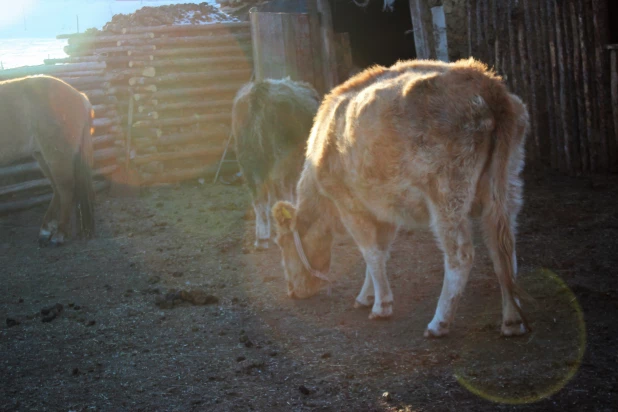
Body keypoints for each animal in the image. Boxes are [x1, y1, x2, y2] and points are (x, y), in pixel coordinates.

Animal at [229, 77, 320, 251]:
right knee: (281, 192)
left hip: (249, 162)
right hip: (280, 162)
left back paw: (262, 239)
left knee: (259, 199)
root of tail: (259, 91)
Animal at [272, 58, 528, 338]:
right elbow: (380, 253)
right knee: (503, 250)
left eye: (282, 242)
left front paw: (381, 306)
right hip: (507, 187)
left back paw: (439, 323)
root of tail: (484, 80)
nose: (292, 290)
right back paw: (512, 321)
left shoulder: (349, 204)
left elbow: (371, 253)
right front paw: (367, 296)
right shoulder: (384, 209)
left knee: (461, 255)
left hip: (448, 194)